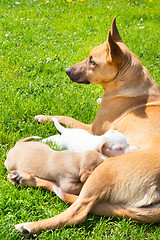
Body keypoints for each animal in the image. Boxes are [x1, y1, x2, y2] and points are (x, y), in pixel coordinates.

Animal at [7, 17, 160, 236]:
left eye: (92, 61)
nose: (67, 71)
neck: (133, 84)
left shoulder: (93, 129)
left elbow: (66, 117)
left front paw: (44, 117)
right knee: (70, 192)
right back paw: (24, 178)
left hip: (103, 171)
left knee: (77, 209)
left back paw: (31, 226)